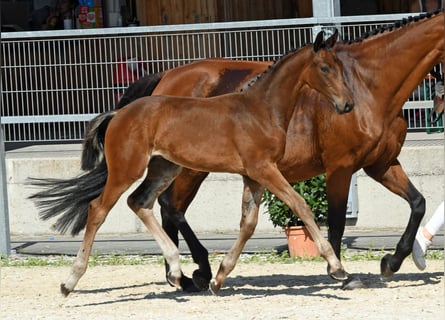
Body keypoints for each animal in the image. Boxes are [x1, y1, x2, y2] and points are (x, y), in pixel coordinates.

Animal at [30, 31, 354, 296]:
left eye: (342, 68)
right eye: (325, 68)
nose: (348, 105)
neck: (261, 109)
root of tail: (117, 114)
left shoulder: (253, 175)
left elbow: (248, 223)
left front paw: (218, 278)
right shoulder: (263, 169)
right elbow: (300, 205)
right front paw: (337, 268)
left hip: (164, 168)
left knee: (141, 202)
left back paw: (177, 271)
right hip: (127, 170)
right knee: (99, 209)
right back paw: (70, 281)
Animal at [105, 10, 444, 292]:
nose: (438, 109)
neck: (369, 86)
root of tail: (165, 77)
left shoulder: (381, 164)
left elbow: (418, 203)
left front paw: (393, 262)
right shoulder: (341, 166)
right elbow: (335, 221)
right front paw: (341, 273)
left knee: (164, 206)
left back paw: (183, 276)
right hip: (191, 168)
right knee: (169, 206)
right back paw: (196, 272)